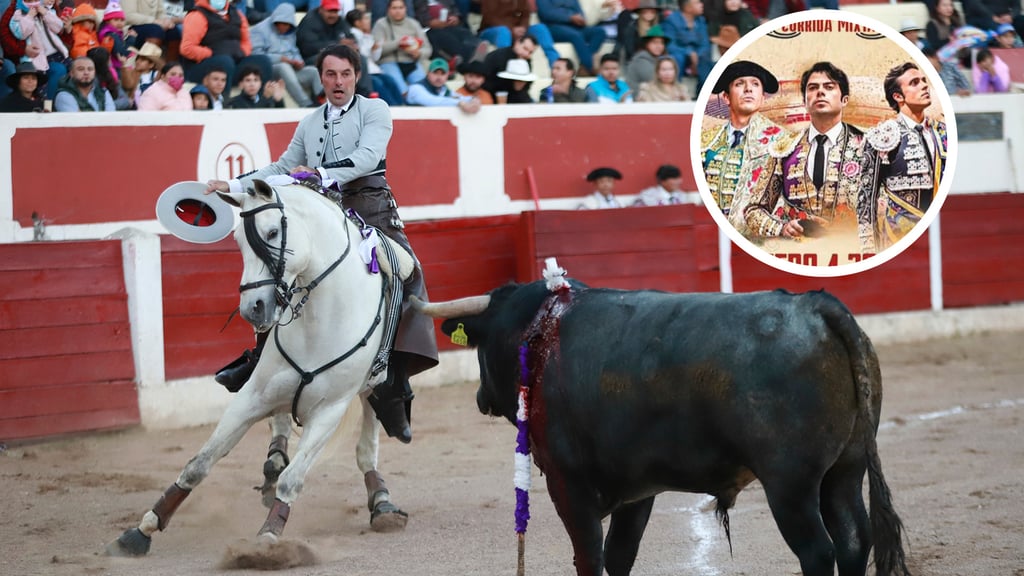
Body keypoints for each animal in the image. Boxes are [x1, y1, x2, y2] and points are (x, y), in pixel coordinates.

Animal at [103, 180, 407, 557]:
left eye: (273, 232)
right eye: (238, 241)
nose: (253, 309)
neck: (321, 317)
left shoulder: (330, 410)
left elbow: (294, 480)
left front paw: (268, 538)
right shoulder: (253, 395)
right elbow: (199, 463)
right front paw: (141, 529)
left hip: (370, 390)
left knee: (366, 445)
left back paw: (381, 502)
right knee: (280, 426)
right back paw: (273, 465)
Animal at [415, 280, 913, 573]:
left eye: (480, 342)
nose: (480, 398)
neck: (541, 330)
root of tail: (817, 307)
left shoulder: (567, 484)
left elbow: (589, 556)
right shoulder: (639, 489)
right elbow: (618, 555)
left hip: (789, 484)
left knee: (818, 551)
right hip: (844, 470)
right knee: (854, 538)